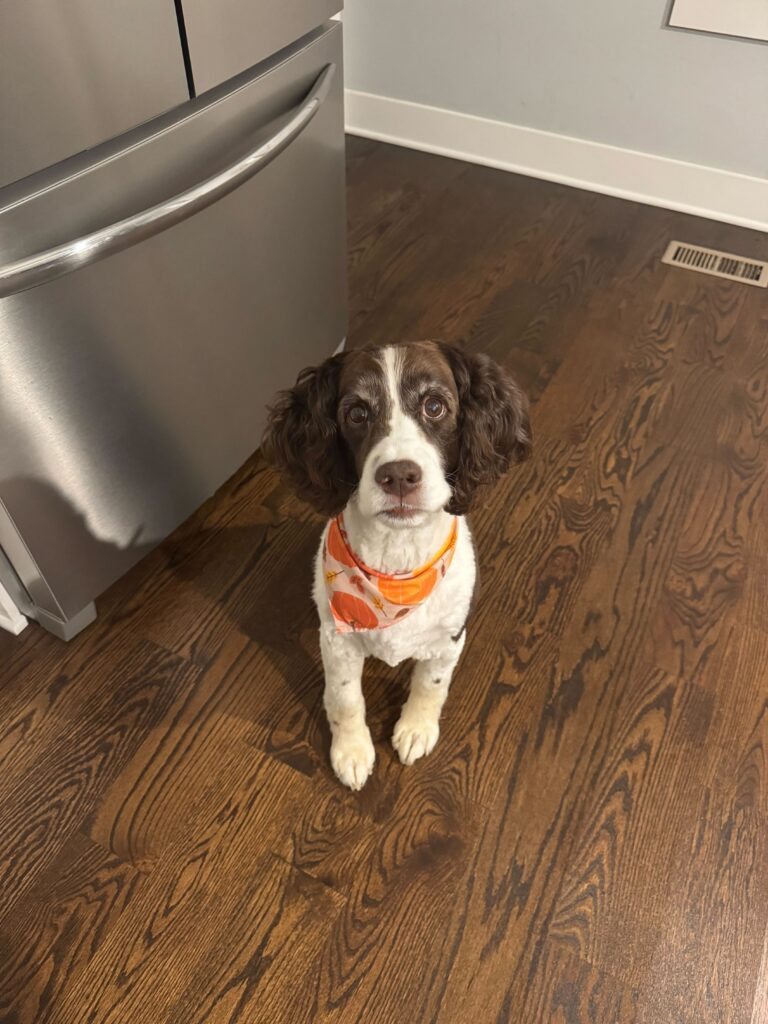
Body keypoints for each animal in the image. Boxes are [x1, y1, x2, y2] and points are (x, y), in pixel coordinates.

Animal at [263, 340, 531, 789]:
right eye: (356, 413)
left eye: (435, 406)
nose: (399, 476)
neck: (398, 561)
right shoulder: (336, 639)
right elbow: (344, 696)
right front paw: (352, 751)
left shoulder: (449, 637)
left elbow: (430, 685)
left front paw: (416, 729)